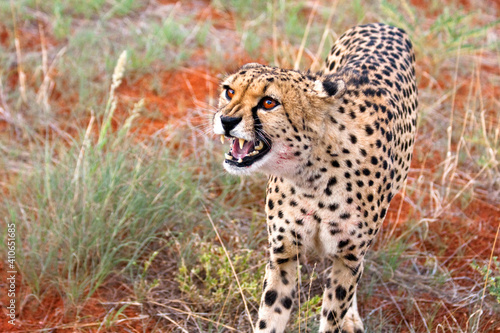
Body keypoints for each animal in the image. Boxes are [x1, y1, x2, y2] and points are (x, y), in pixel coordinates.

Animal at [212, 23, 418, 332]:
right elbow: (270, 315)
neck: (312, 174)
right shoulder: (283, 253)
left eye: (268, 102)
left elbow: (333, 314)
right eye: (229, 91)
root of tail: (383, 24)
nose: (226, 121)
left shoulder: (348, 257)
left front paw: (343, 317)